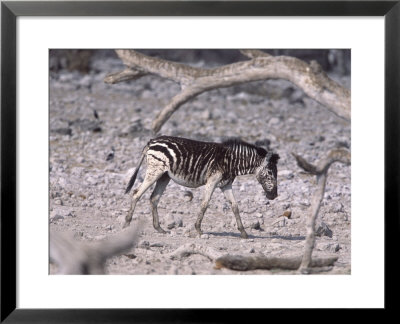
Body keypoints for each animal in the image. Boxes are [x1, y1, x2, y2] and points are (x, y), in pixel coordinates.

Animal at [123, 135, 280, 239]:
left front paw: (244, 232)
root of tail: (152, 141)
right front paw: (198, 229)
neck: (232, 162)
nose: (274, 196)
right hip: (155, 171)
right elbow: (205, 204)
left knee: (154, 198)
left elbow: (235, 206)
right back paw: (126, 224)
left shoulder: (226, 185)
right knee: (136, 193)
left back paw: (159, 228)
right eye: (270, 173)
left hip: (164, 176)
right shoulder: (212, 181)